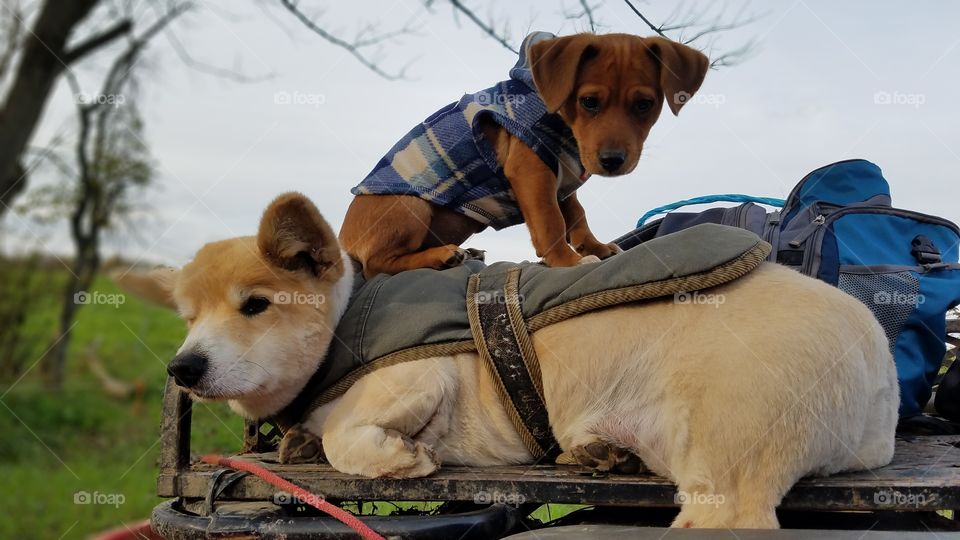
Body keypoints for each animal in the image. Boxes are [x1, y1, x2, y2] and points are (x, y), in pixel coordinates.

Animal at [122, 193, 900, 528]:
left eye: (254, 305)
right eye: (187, 317)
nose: (182, 370)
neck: (345, 319)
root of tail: (880, 375)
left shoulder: (423, 374)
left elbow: (350, 436)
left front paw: (398, 458)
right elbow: (316, 437)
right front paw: (301, 442)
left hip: (726, 466)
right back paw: (601, 455)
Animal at [342, 32, 708, 278]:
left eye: (644, 105)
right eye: (589, 102)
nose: (613, 161)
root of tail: (344, 242)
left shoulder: (563, 178)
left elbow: (577, 216)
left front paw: (596, 247)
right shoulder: (533, 172)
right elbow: (551, 222)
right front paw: (568, 261)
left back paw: (463, 252)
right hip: (410, 206)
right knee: (377, 266)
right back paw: (442, 256)